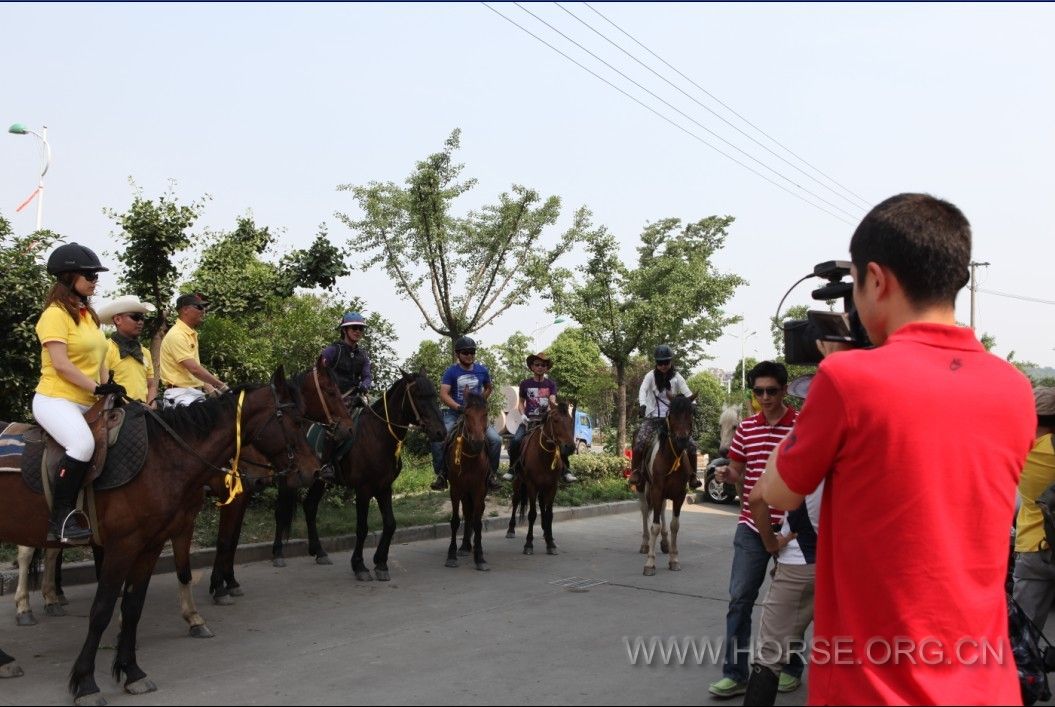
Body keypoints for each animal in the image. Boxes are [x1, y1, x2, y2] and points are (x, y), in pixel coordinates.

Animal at [0, 369, 320, 704]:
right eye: (296, 421)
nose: (314, 471)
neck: (163, 457)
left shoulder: (151, 545)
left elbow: (134, 606)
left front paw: (132, 672)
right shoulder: (122, 547)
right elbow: (101, 610)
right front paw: (86, 683)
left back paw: (7, 658)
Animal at [445, 390, 493, 574]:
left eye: (485, 414)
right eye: (466, 414)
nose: (478, 442)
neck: (470, 458)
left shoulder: (479, 489)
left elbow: (478, 522)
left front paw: (480, 557)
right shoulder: (456, 489)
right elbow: (455, 521)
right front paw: (451, 555)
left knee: (472, 514)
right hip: (464, 493)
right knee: (466, 512)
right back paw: (464, 546)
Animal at [504, 400, 573, 557]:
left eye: (571, 420)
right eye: (556, 420)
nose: (570, 447)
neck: (544, 455)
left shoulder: (552, 486)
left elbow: (549, 514)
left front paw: (550, 542)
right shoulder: (531, 485)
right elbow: (532, 514)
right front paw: (529, 544)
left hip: (543, 486)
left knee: (542, 504)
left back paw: (545, 531)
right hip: (518, 482)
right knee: (516, 501)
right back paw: (511, 529)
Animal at [637, 392, 696, 574]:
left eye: (690, 413)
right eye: (672, 414)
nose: (682, 439)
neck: (671, 457)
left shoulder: (680, 494)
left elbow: (674, 525)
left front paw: (674, 559)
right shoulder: (656, 490)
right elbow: (654, 525)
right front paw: (650, 563)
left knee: (662, 508)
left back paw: (664, 542)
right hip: (643, 486)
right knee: (645, 510)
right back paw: (645, 543)